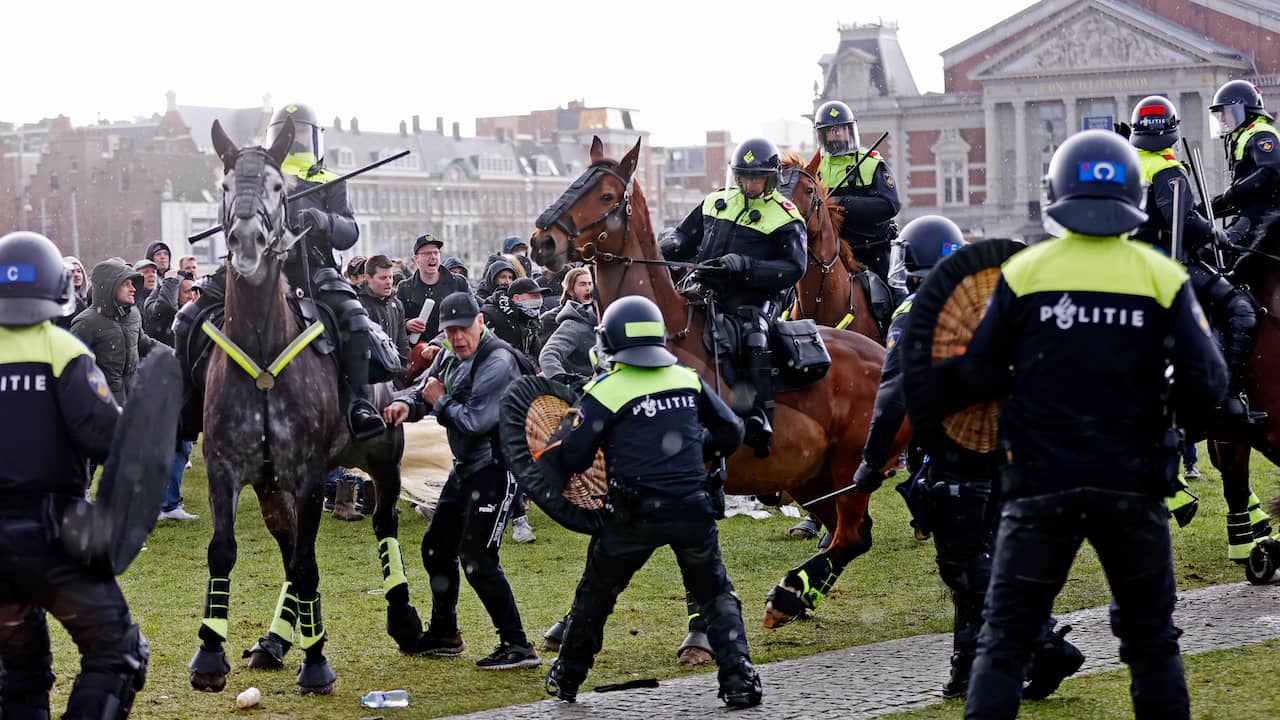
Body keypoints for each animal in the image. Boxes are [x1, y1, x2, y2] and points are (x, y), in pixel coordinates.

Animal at [186, 119, 424, 691]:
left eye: (278, 187)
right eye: (225, 185)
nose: (246, 241)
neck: (261, 347)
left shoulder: (309, 473)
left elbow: (307, 564)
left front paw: (316, 661)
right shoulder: (226, 469)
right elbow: (226, 552)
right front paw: (211, 652)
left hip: (383, 459)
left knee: (382, 524)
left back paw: (404, 618)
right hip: (271, 486)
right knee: (289, 543)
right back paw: (274, 640)